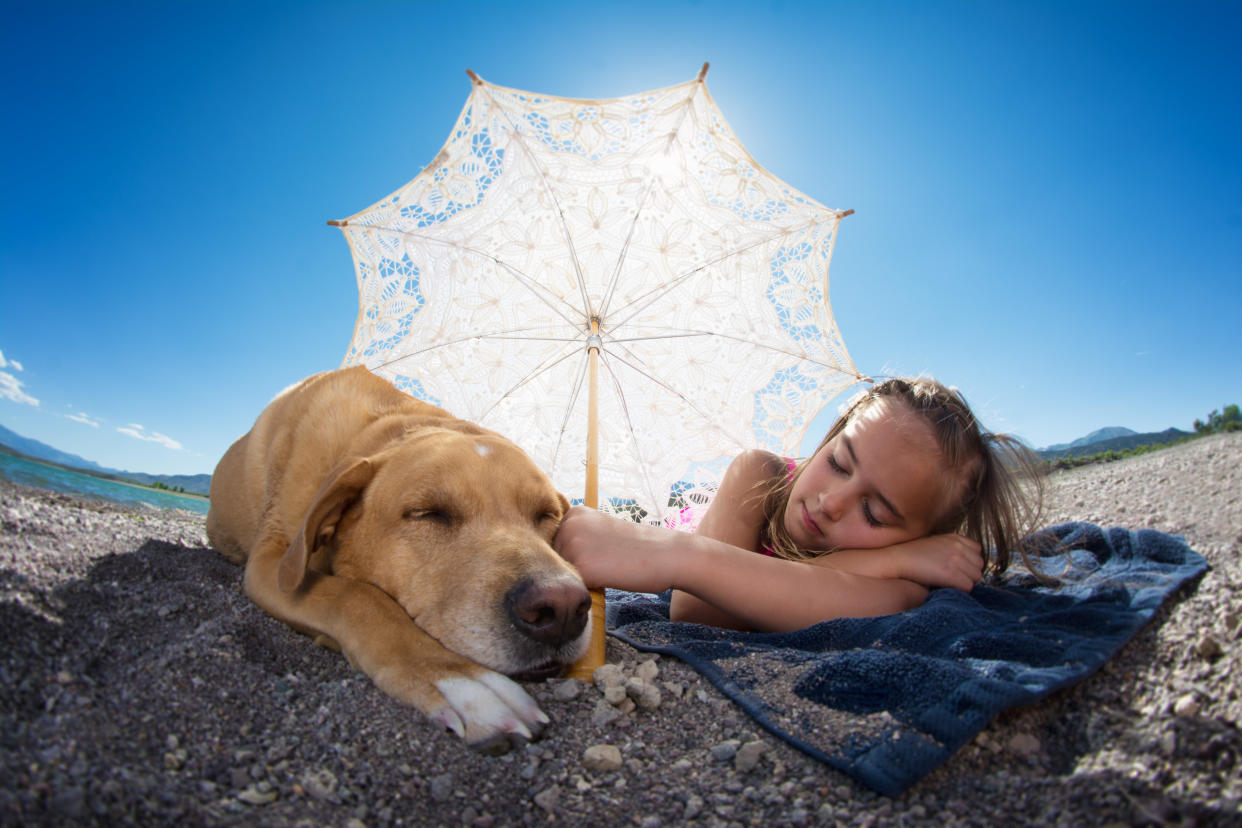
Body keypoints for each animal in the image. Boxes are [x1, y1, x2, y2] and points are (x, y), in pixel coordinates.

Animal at [204, 364, 591, 749]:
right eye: (427, 513)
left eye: (547, 514)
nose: (563, 608)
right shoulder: (273, 564)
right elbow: (356, 596)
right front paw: (456, 676)